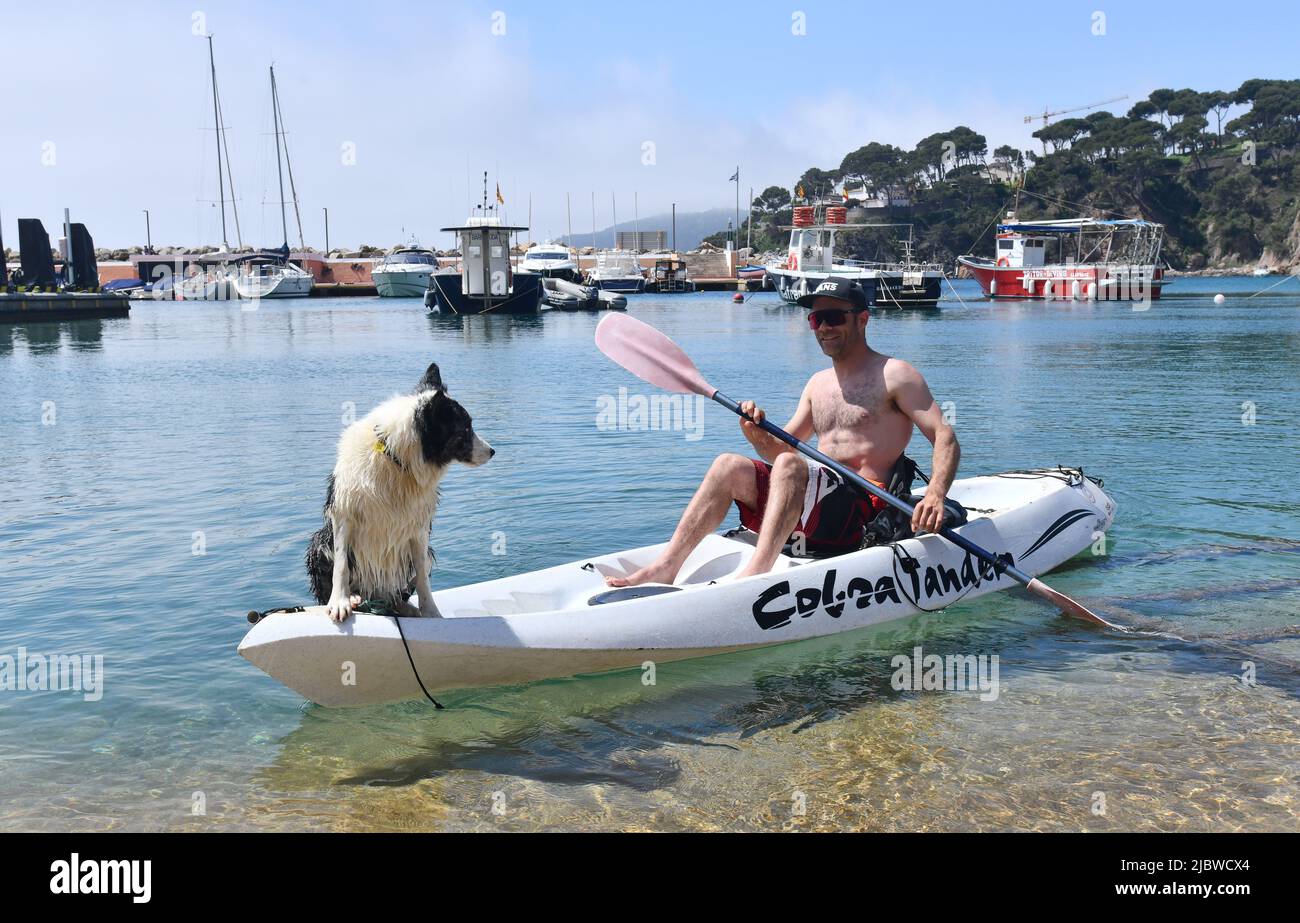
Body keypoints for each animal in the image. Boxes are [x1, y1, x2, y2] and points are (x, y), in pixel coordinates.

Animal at [304, 364, 491, 626]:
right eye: (465, 428)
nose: (492, 451)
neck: (396, 460)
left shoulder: (418, 527)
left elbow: (422, 578)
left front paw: (431, 613)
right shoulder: (343, 514)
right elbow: (341, 564)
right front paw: (339, 602)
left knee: (398, 592)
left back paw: (403, 607)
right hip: (319, 541)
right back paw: (354, 598)